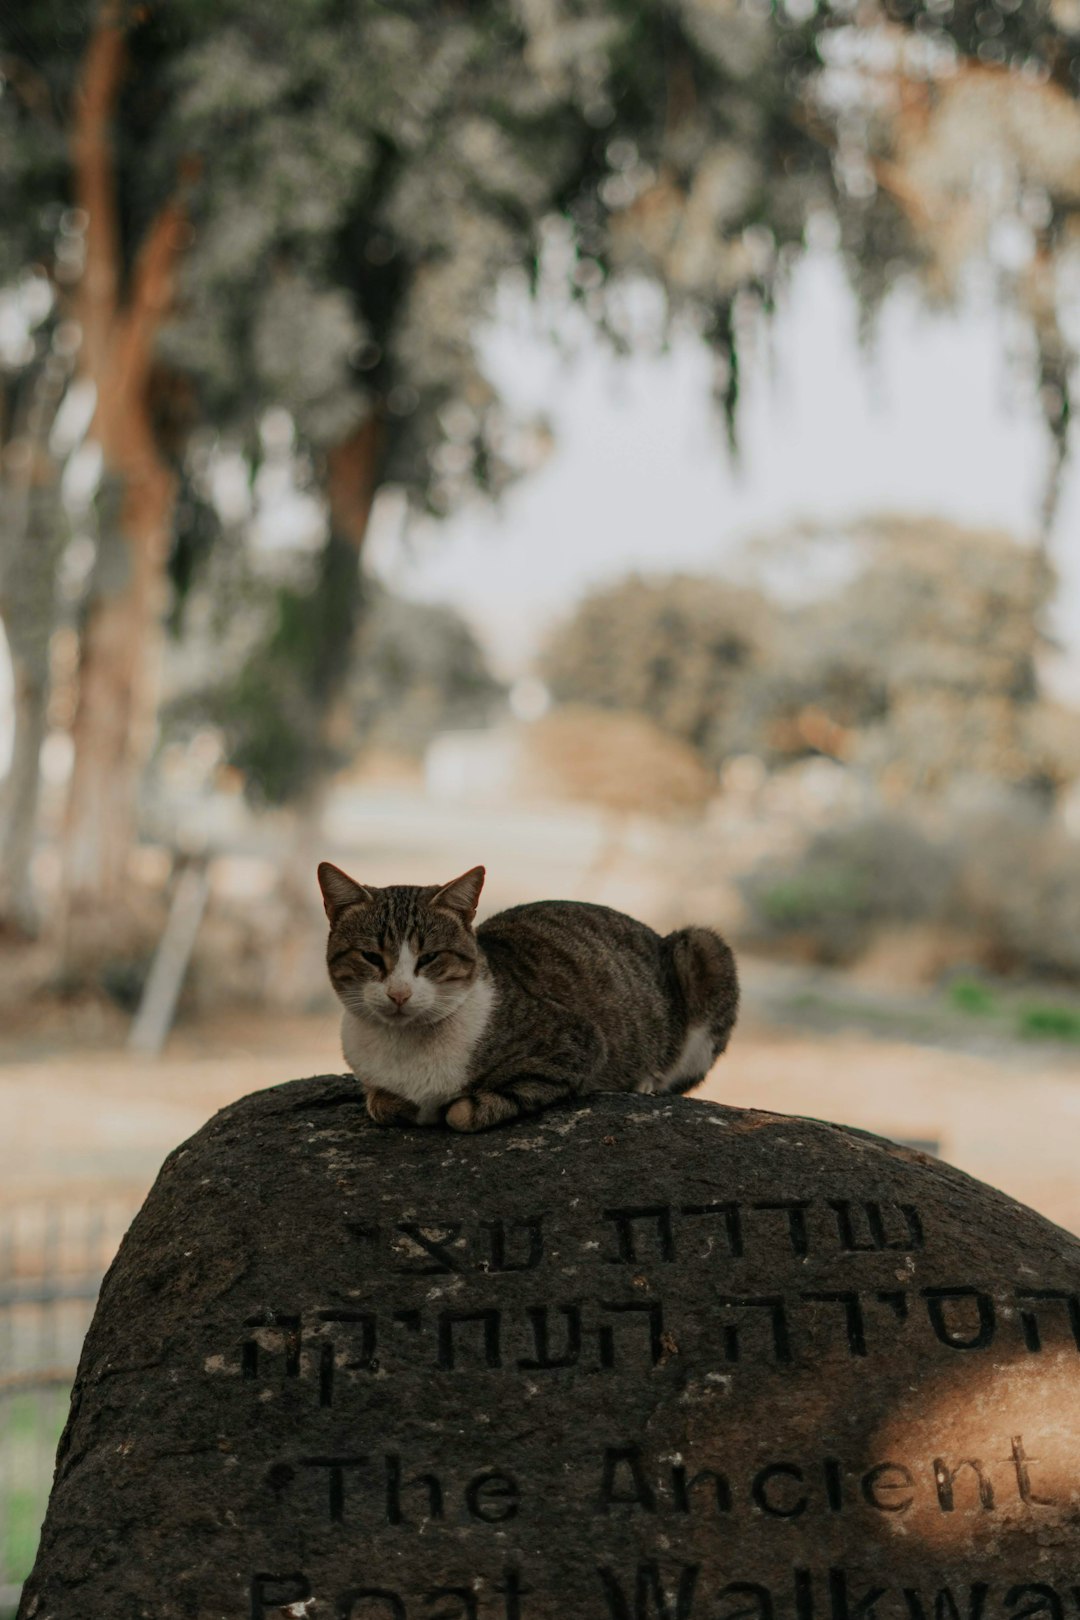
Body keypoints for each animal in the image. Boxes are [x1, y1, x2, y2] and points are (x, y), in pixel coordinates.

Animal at [317, 868, 738, 1134]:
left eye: (429, 957)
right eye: (371, 957)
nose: (399, 993)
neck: (405, 1047)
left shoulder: (577, 1043)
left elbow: (463, 1111)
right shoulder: (375, 1084)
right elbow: (381, 1103)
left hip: (704, 948)